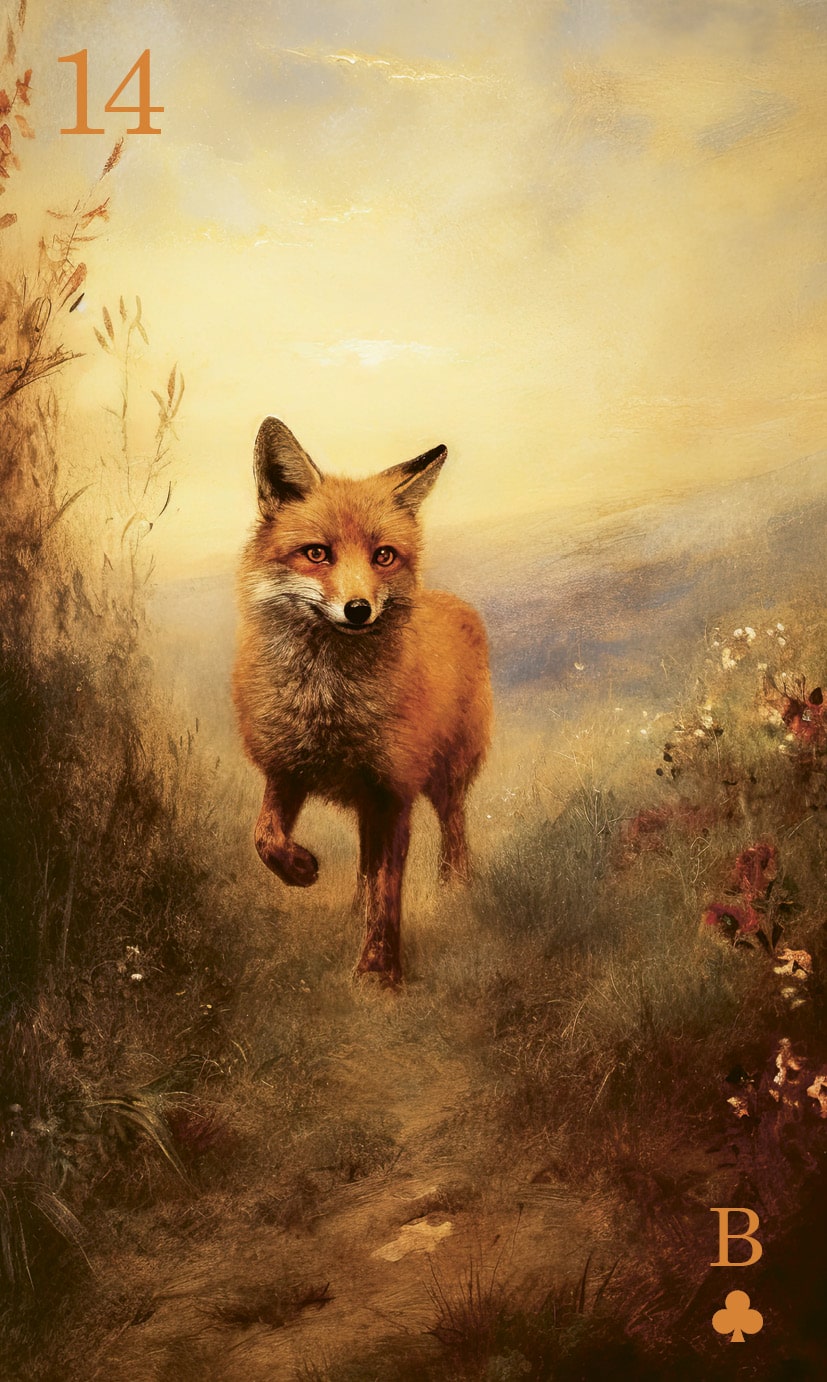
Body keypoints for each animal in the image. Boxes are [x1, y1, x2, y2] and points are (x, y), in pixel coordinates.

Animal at [232, 417, 492, 985]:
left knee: (453, 828)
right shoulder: (286, 770)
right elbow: (264, 838)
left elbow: (388, 891)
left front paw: (377, 974)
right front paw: (300, 869)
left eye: (383, 556)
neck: (328, 705)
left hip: (445, 775)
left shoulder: (392, 790)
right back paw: (351, 910)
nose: (358, 609)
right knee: (363, 865)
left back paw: (456, 890)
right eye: (316, 553)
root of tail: (454, 603)